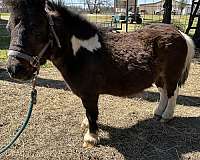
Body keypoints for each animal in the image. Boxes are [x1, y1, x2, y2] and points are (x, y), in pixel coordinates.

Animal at [5, 0, 195, 148]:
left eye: (37, 30)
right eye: (9, 28)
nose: (14, 69)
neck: (82, 52)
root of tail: (180, 33)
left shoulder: (90, 93)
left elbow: (91, 112)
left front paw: (91, 137)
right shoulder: (86, 93)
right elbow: (88, 112)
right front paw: (87, 126)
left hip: (171, 74)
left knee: (172, 93)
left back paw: (166, 116)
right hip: (159, 77)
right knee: (164, 92)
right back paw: (158, 113)